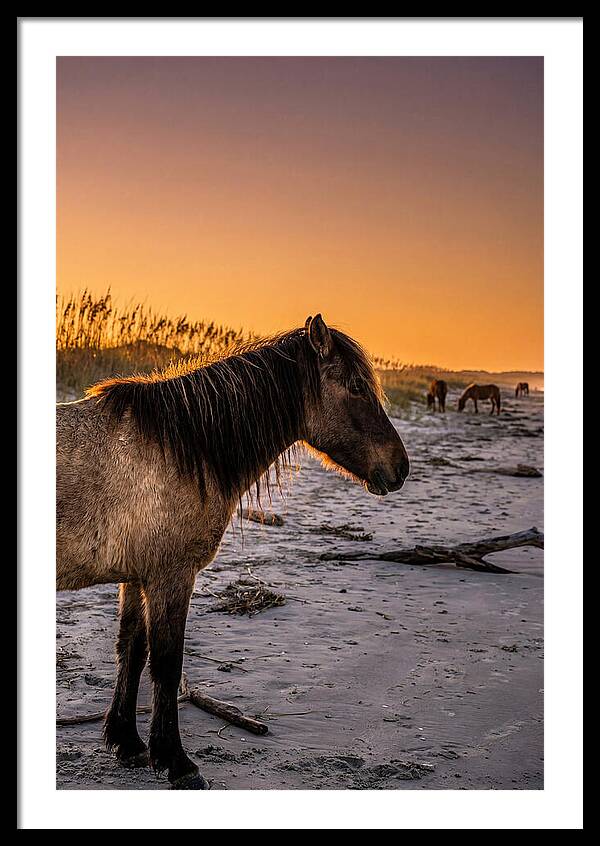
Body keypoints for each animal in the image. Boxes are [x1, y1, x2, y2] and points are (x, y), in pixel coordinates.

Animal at [56, 314, 410, 790]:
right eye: (356, 387)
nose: (400, 468)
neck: (181, 448)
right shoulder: (171, 576)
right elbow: (166, 663)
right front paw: (176, 762)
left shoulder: (138, 576)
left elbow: (132, 648)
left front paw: (127, 742)